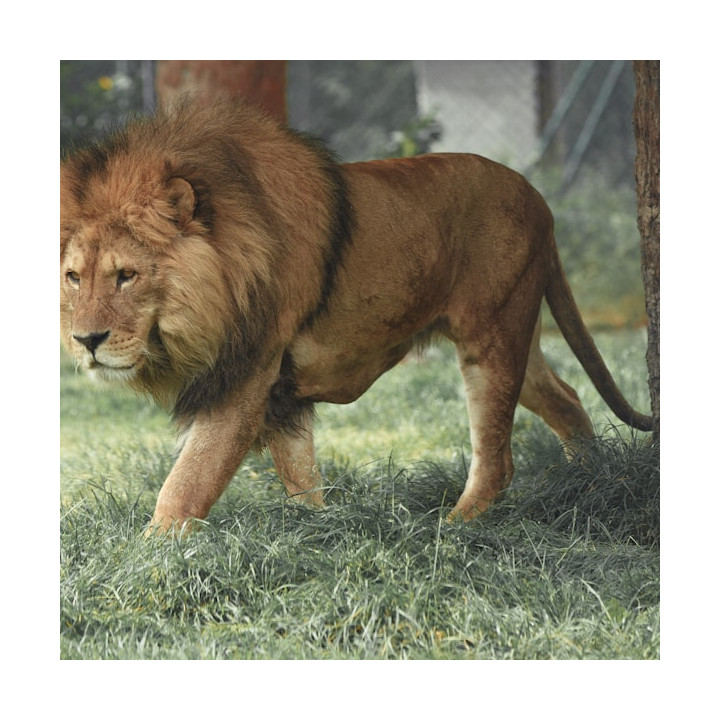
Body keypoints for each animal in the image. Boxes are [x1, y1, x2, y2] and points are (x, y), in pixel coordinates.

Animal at [60, 99, 652, 532]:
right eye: (73, 277)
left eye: (126, 275)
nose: (86, 340)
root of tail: (539, 198)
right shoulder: (278, 391)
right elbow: (300, 475)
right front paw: (320, 532)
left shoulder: (247, 374)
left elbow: (189, 480)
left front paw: (151, 556)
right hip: (514, 334)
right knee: (566, 397)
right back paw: (590, 483)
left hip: (492, 336)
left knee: (497, 460)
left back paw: (451, 529)